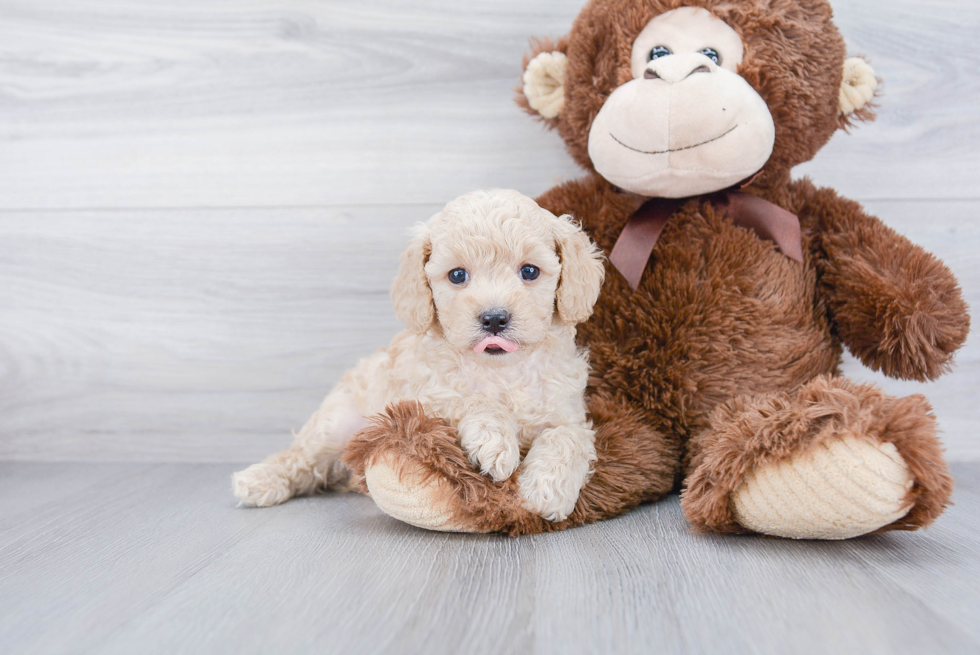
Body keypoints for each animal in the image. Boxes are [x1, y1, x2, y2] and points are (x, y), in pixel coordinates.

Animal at [236, 190, 604, 524]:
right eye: (457, 275)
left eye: (529, 271)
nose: (494, 319)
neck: (501, 370)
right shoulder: (423, 399)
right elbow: (470, 400)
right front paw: (495, 441)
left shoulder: (567, 412)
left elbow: (568, 436)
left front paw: (547, 490)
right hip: (334, 424)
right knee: (298, 457)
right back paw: (258, 481)